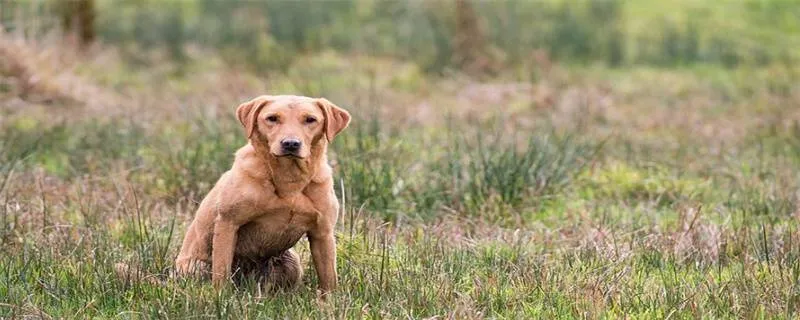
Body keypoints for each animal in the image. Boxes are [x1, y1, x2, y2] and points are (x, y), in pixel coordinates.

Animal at [175, 94, 350, 296]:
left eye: (310, 119)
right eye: (272, 118)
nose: (291, 143)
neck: (289, 179)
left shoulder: (322, 232)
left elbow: (329, 277)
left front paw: (329, 299)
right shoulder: (228, 223)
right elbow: (221, 271)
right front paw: (220, 296)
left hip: (291, 263)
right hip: (197, 266)